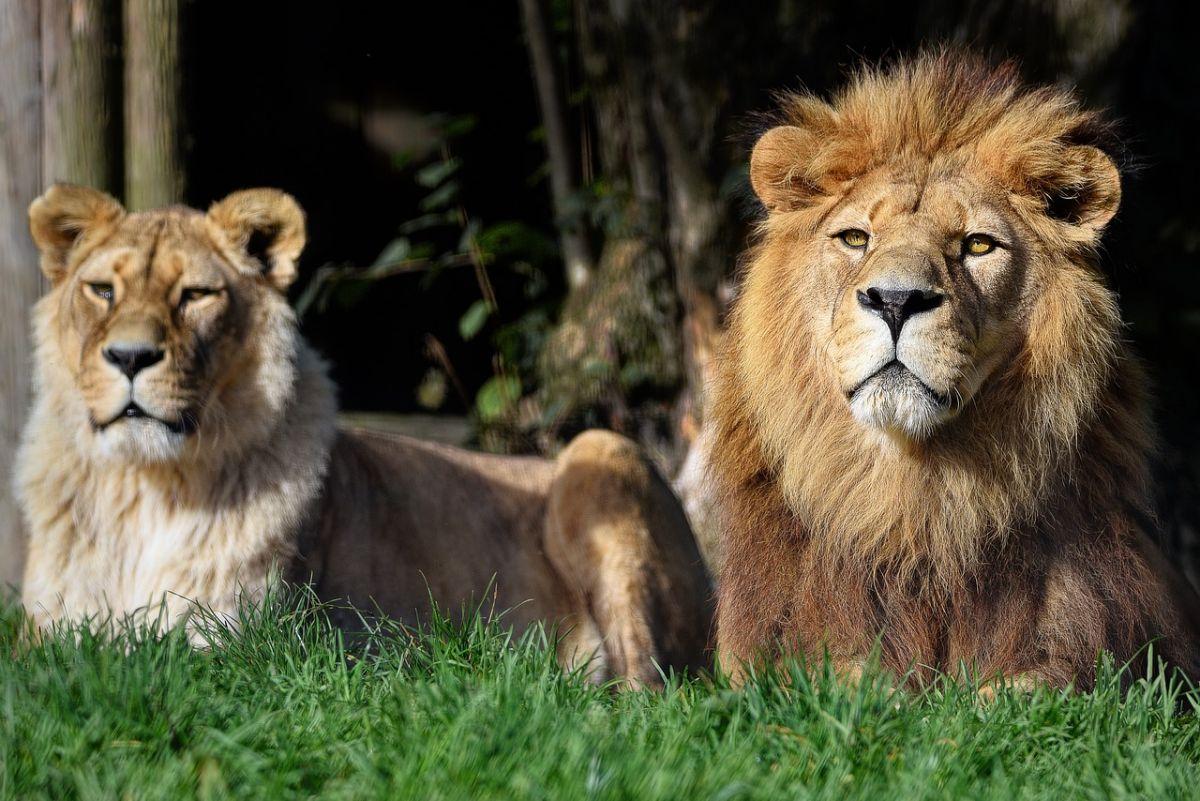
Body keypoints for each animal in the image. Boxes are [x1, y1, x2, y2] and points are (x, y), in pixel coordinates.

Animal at [14, 184, 710, 685]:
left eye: (195, 295)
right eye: (102, 290)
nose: (130, 357)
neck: (148, 484)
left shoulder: (239, 644)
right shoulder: (44, 637)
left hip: (602, 453)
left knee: (645, 689)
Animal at [710, 51, 1200, 690]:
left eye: (978, 245)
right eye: (855, 238)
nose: (895, 300)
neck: (916, 504)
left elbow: (1027, 690)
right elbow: (836, 679)